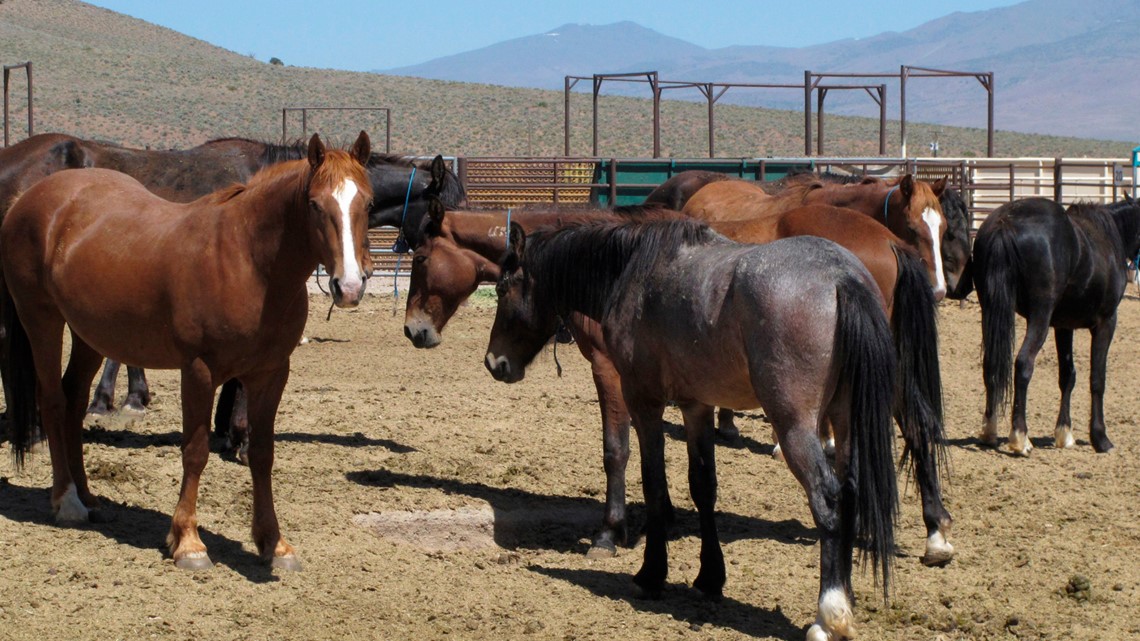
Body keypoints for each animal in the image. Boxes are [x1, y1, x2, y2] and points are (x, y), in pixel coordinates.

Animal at [2, 132, 374, 569]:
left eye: (367, 203)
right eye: (314, 204)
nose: (349, 287)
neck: (247, 260)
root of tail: (29, 198)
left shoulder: (271, 373)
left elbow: (262, 454)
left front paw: (274, 544)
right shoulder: (199, 370)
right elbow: (195, 452)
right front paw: (188, 542)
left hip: (89, 334)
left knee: (74, 402)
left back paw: (88, 497)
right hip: (40, 319)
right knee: (53, 401)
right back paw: (67, 502)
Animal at [403, 199, 954, 566]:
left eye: (421, 260)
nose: (414, 331)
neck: (617, 268)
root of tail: (884, 242)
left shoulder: (613, 374)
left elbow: (618, 450)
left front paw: (612, 532)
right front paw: (661, 517)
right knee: (918, 429)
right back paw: (932, 531)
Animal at [484, 218, 898, 641]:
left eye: (502, 288)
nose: (494, 362)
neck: (633, 271)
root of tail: (841, 276)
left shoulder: (642, 400)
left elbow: (651, 481)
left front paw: (650, 574)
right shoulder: (696, 405)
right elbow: (703, 487)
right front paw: (710, 578)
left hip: (795, 426)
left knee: (827, 498)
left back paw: (829, 613)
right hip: (845, 421)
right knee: (850, 493)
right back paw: (846, 598)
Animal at [973, 196, 1140, 456]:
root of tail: (1005, 223)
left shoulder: (1063, 326)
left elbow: (1067, 376)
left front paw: (1064, 434)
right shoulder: (1106, 322)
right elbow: (1097, 379)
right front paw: (1100, 438)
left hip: (990, 310)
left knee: (990, 365)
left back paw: (990, 432)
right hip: (1039, 316)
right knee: (1023, 363)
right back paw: (1020, 438)